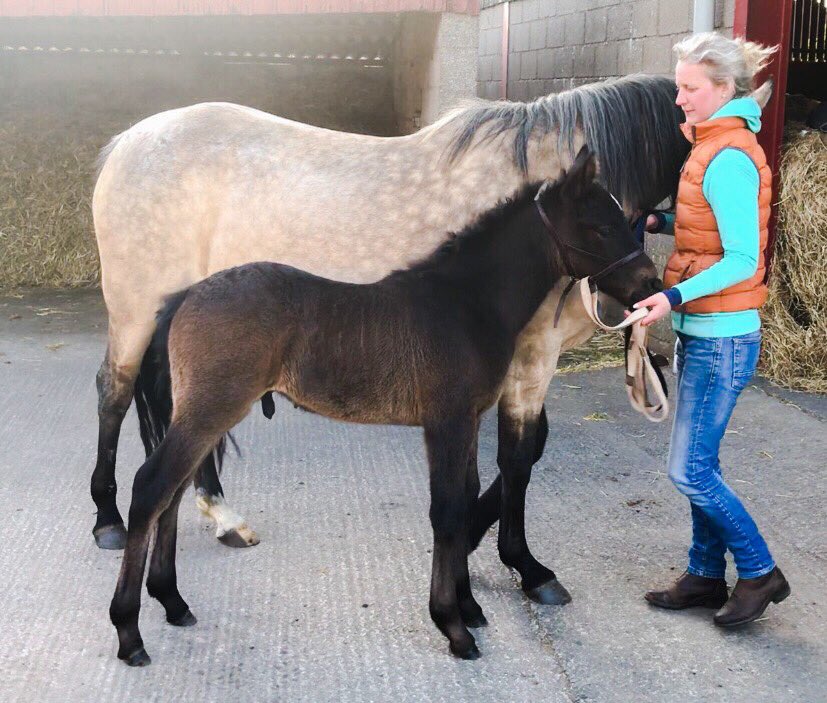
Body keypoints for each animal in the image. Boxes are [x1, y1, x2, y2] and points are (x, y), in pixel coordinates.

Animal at [109, 147, 662, 665]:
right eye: (600, 227)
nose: (651, 286)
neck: (467, 303)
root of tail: (183, 297)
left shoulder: (468, 420)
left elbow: (465, 498)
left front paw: (469, 608)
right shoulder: (446, 421)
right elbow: (447, 509)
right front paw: (452, 625)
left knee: (172, 493)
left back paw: (173, 602)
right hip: (209, 409)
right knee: (152, 487)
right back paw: (129, 632)